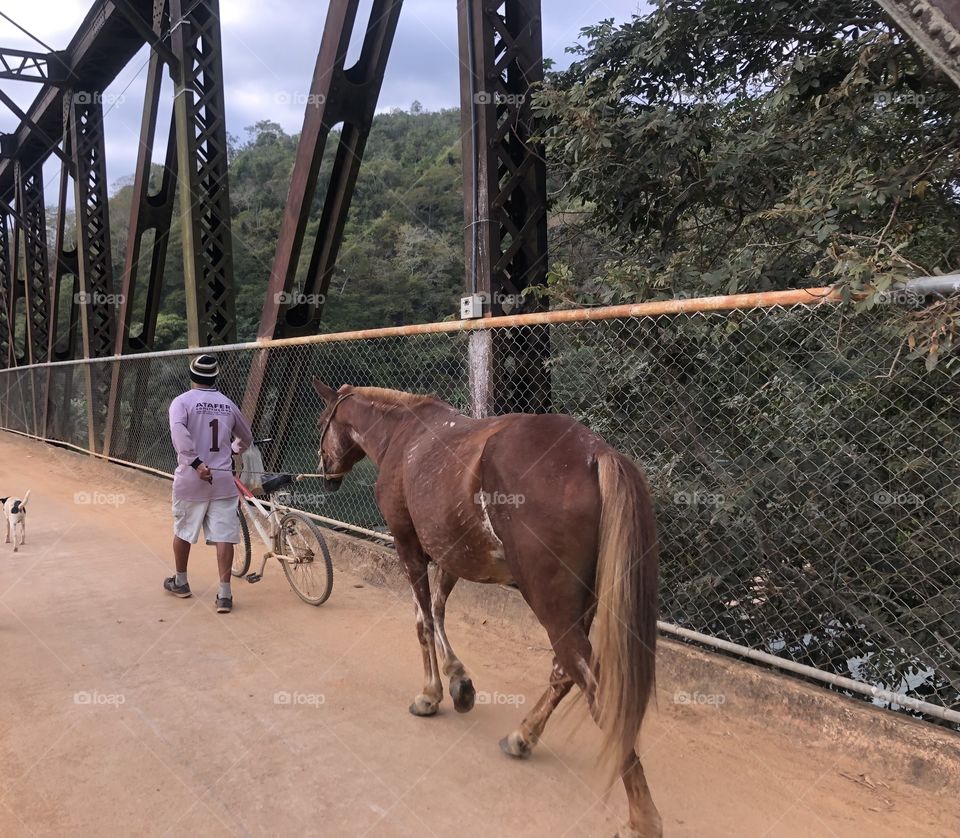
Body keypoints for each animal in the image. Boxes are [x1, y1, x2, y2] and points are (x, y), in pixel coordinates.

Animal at [314, 384, 660, 836]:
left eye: (322, 422)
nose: (325, 472)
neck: (403, 436)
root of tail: (595, 453)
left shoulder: (409, 548)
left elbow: (423, 622)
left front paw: (431, 694)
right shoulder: (450, 555)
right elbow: (438, 612)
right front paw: (459, 682)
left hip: (551, 606)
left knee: (591, 683)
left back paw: (643, 816)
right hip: (580, 607)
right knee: (564, 672)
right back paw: (522, 737)